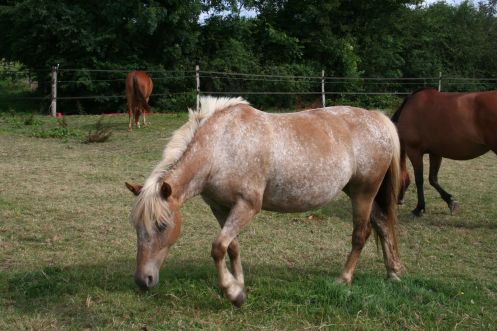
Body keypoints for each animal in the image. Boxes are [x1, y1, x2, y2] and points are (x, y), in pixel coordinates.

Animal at [126, 97, 402, 308]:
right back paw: (394, 274)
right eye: (136, 228)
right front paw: (239, 284)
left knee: (361, 235)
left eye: (162, 225)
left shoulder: (247, 206)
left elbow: (218, 247)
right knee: (382, 225)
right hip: (360, 194)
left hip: (363, 194)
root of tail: (376, 118)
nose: (142, 280)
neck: (220, 148)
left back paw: (344, 278)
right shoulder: (220, 208)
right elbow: (232, 247)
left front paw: (233, 293)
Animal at [392, 88, 496, 218]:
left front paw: (419, 208)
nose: (399, 201)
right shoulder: (435, 153)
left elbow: (419, 180)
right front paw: (451, 202)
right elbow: (433, 179)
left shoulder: (414, 151)